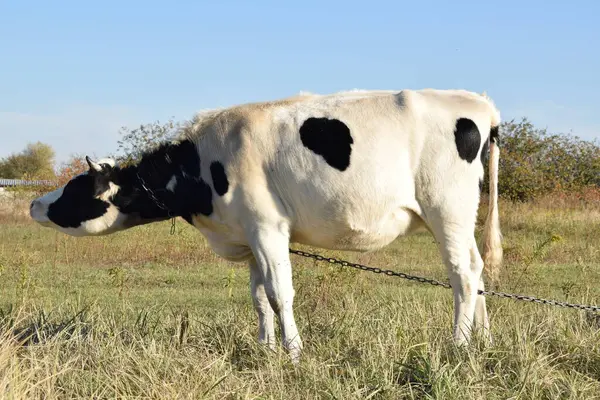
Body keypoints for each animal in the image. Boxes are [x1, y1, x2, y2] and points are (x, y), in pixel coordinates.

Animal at [30, 89, 504, 364]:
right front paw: (265, 348)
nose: (35, 204)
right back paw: (483, 341)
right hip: (460, 215)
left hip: (447, 209)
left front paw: (293, 354)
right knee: (477, 270)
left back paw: (459, 346)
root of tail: (478, 104)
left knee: (462, 274)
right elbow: (258, 298)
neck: (205, 163)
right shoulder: (249, 235)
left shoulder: (268, 227)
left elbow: (280, 294)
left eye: (75, 188)